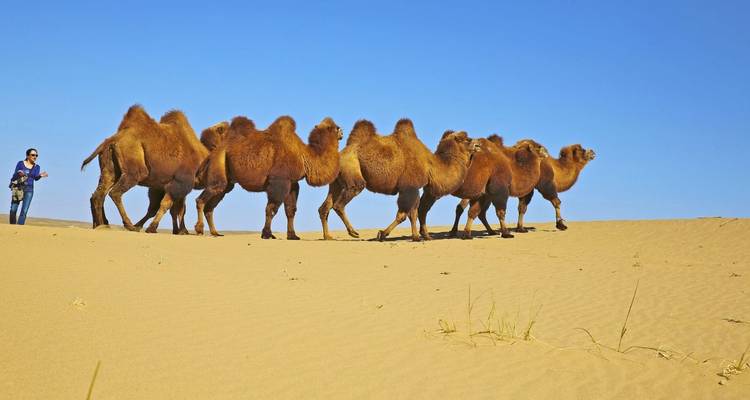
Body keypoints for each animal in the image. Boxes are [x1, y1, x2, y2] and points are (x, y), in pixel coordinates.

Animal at [81, 105, 217, 233]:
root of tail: (112, 139)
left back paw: (101, 225)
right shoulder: (180, 182)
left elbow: (176, 208)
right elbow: (168, 206)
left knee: (98, 194)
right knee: (115, 192)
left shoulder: (169, 185)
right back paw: (129, 225)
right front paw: (152, 228)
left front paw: (181, 231)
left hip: (110, 168)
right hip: (135, 170)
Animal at [194, 115, 343, 239]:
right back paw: (199, 229)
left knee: (212, 204)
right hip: (218, 163)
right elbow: (271, 209)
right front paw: (267, 234)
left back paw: (215, 233)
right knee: (202, 198)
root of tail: (212, 154)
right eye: (332, 127)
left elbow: (291, 210)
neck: (303, 155)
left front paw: (292, 235)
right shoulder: (279, 181)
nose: (341, 131)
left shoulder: (292, 183)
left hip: (227, 181)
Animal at [318, 119, 479, 242]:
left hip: (337, 182)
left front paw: (418, 236)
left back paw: (328, 236)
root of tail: (340, 154)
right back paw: (353, 232)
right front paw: (382, 234)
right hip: (352, 172)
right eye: (467, 139)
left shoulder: (414, 188)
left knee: (325, 206)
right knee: (339, 204)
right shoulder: (409, 186)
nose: (478, 145)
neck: (430, 165)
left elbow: (412, 213)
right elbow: (404, 214)